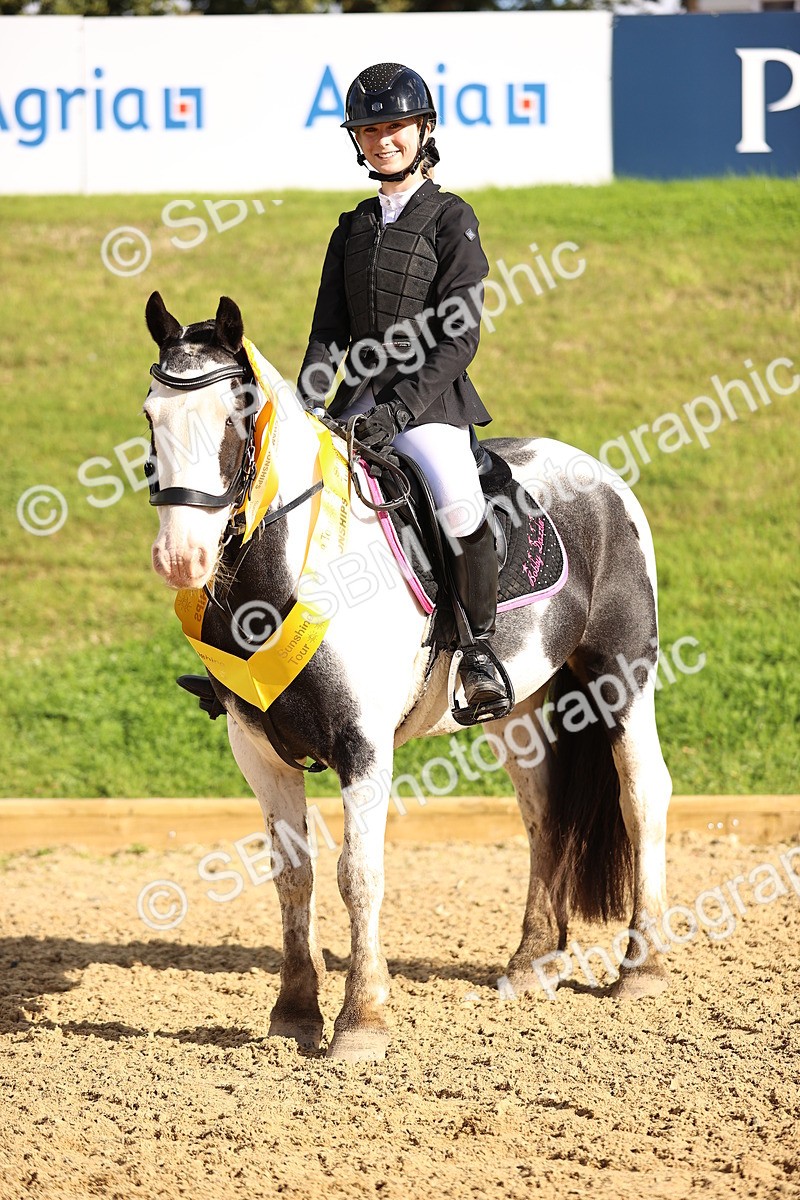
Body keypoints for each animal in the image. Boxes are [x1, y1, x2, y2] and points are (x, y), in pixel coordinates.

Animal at [142, 291, 673, 1063]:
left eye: (236, 416)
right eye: (150, 415)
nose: (181, 557)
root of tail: (601, 477)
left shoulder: (364, 748)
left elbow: (357, 876)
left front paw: (362, 1021)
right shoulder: (259, 751)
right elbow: (293, 878)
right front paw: (293, 1013)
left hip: (621, 673)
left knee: (642, 796)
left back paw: (643, 966)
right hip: (516, 709)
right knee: (543, 813)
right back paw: (531, 964)